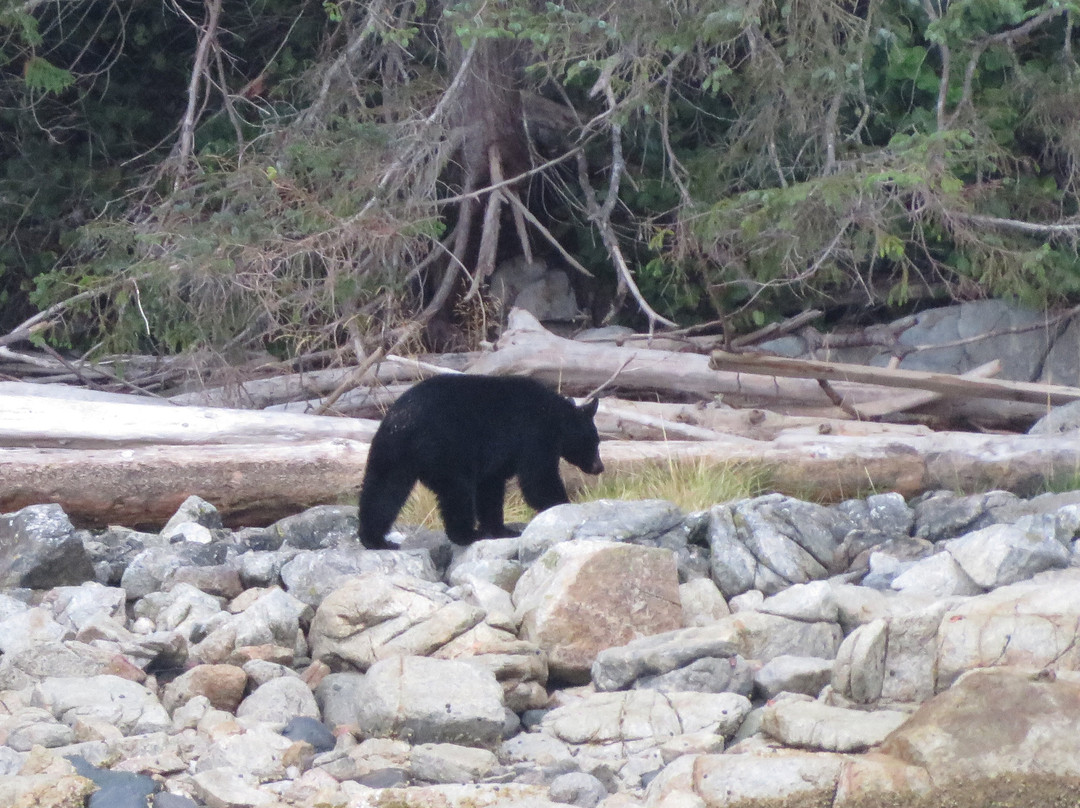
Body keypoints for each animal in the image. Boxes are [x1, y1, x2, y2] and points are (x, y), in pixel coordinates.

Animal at [359, 374, 604, 549]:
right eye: (595, 441)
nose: (599, 467)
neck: (556, 414)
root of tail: (403, 422)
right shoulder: (534, 434)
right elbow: (538, 478)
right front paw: (563, 504)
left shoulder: (495, 460)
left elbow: (491, 489)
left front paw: (502, 530)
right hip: (448, 450)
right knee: (457, 492)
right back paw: (468, 534)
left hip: (392, 453)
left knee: (383, 491)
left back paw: (375, 539)